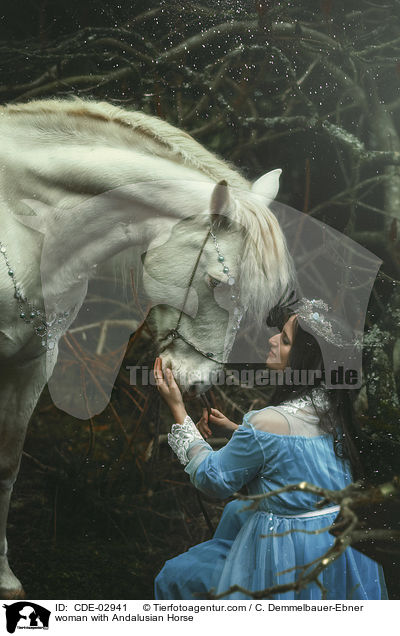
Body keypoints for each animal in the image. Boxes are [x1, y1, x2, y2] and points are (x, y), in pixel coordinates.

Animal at [0, 98, 294, 596]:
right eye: (220, 284)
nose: (196, 383)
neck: (20, 225)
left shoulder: (33, 362)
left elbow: (7, 465)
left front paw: (4, 579)